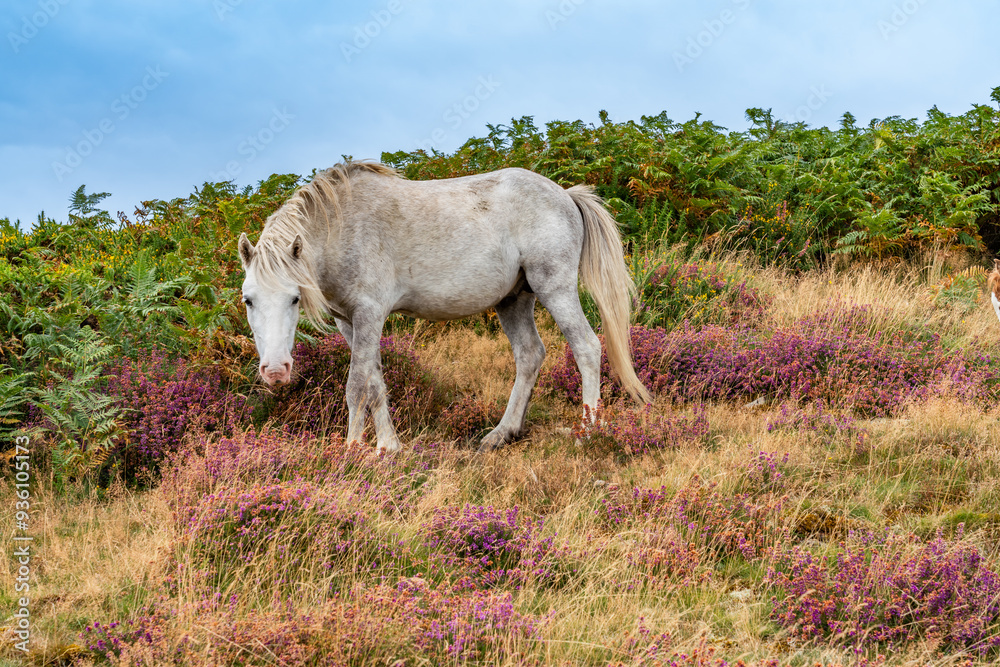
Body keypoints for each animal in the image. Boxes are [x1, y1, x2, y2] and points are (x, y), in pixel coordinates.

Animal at [238, 162, 651, 453]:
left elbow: (356, 385)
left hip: (555, 288)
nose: (275, 371)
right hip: (514, 300)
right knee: (530, 356)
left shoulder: (369, 315)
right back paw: (502, 434)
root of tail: (565, 195)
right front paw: (388, 447)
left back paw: (588, 433)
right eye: (248, 300)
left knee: (587, 348)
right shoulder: (349, 322)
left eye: (294, 298)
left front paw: (352, 451)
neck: (342, 227)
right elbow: (375, 381)